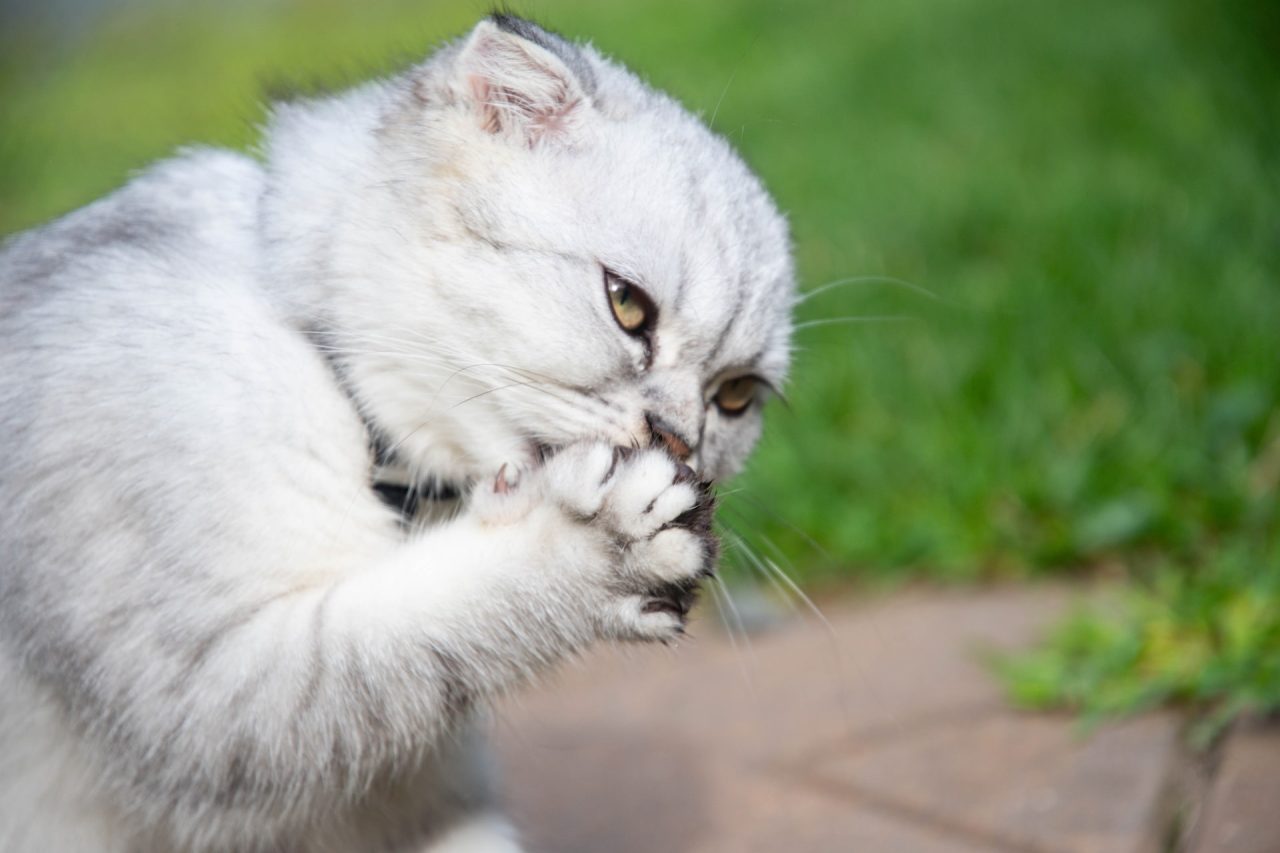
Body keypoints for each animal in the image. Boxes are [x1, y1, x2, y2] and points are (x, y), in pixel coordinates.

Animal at [0, 13, 788, 850]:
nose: (678, 441)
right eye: (627, 304)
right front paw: (604, 545)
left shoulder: (437, 803)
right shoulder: (208, 701)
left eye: (735, 396)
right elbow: (425, 636)